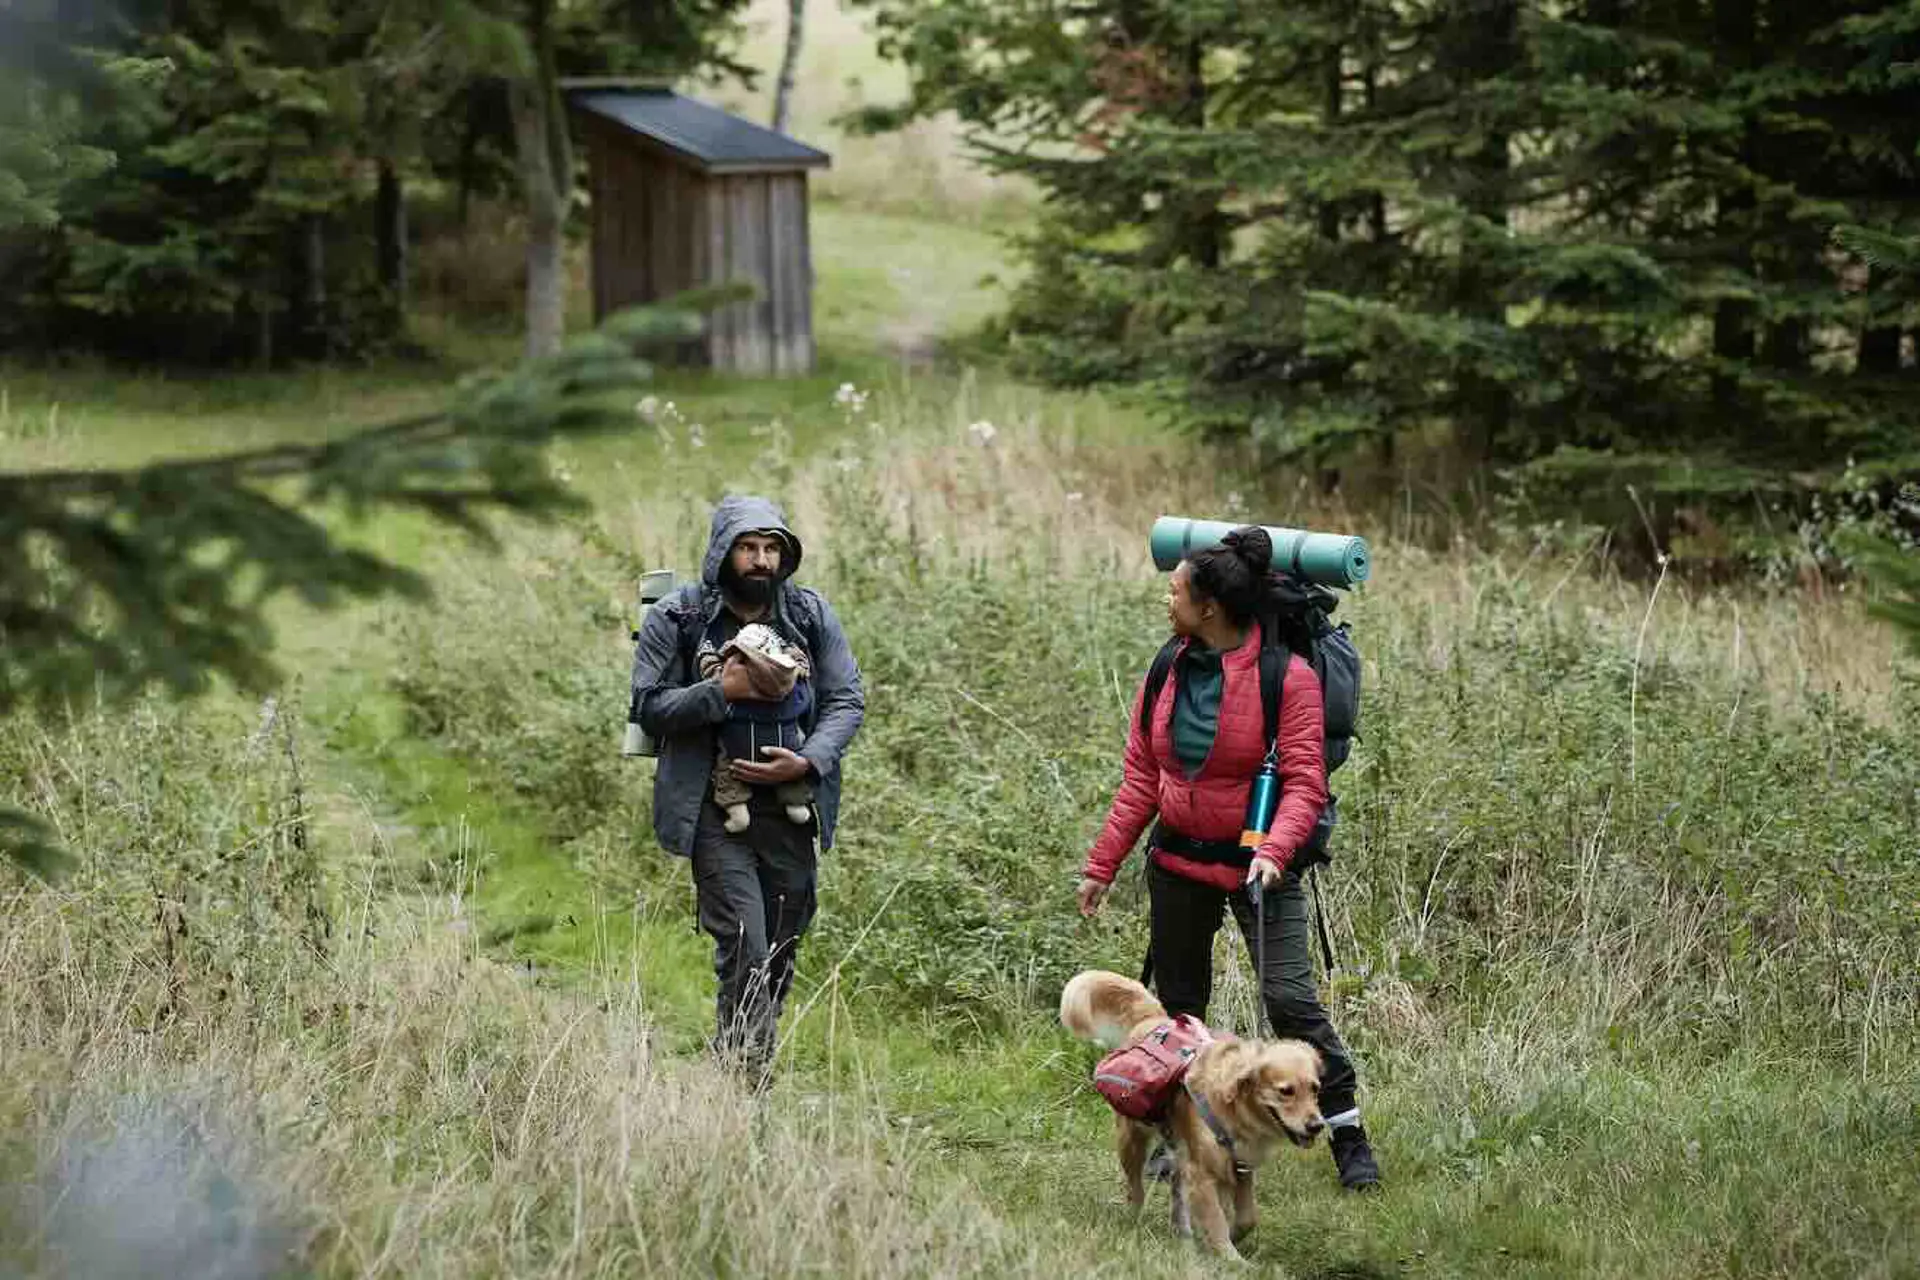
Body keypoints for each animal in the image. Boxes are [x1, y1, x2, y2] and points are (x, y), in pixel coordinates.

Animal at [1067, 971, 1320, 1258]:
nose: (1317, 1125)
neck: (1233, 1108)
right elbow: (1216, 1222)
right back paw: (1135, 1220)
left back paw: (1182, 1233)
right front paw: (1231, 1258)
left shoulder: (1241, 1168)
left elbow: (1247, 1217)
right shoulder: (1202, 1174)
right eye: (1286, 1091)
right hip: (1132, 1139)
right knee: (1135, 1188)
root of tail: (1154, 1018)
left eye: (1315, 1089)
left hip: (1177, 1150)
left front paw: (1234, 1236)